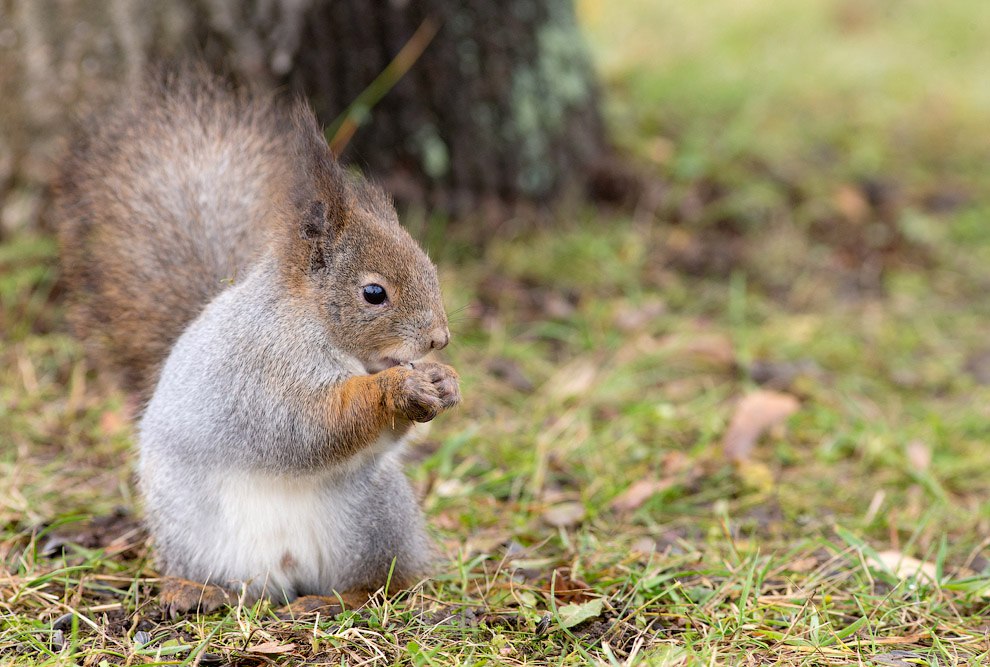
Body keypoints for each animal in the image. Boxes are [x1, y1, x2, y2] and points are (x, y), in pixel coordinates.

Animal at [52, 69, 460, 616]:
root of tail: (288, 573)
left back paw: (334, 600)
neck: (315, 324)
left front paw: (444, 381)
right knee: (220, 579)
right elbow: (309, 425)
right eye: (374, 293)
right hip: (195, 532)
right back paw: (196, 591)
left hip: (375, 519)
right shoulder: (262, 369)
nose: (440, 339)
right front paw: (396, 390)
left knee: (381, 581)